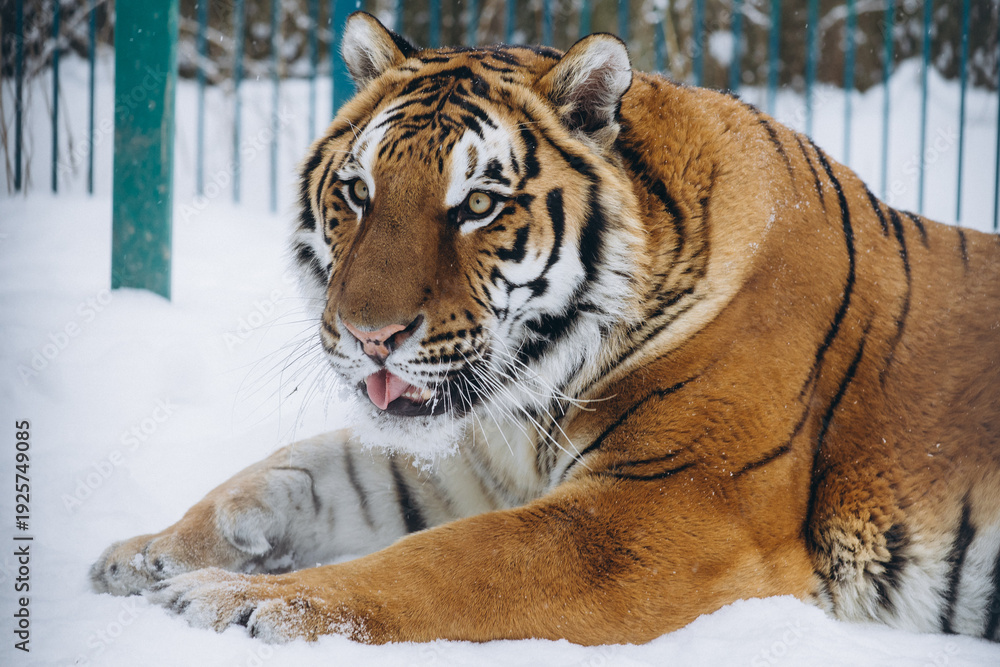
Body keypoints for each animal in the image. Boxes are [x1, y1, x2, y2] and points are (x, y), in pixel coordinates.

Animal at [90, 11, 1000, 645]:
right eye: (357, 192)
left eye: (477, 204)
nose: (369, 335)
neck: (535, 390)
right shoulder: (468, 460)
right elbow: (289, 475)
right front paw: (147, 552)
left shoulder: (664, 513)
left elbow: (447, 563)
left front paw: (240, 600)